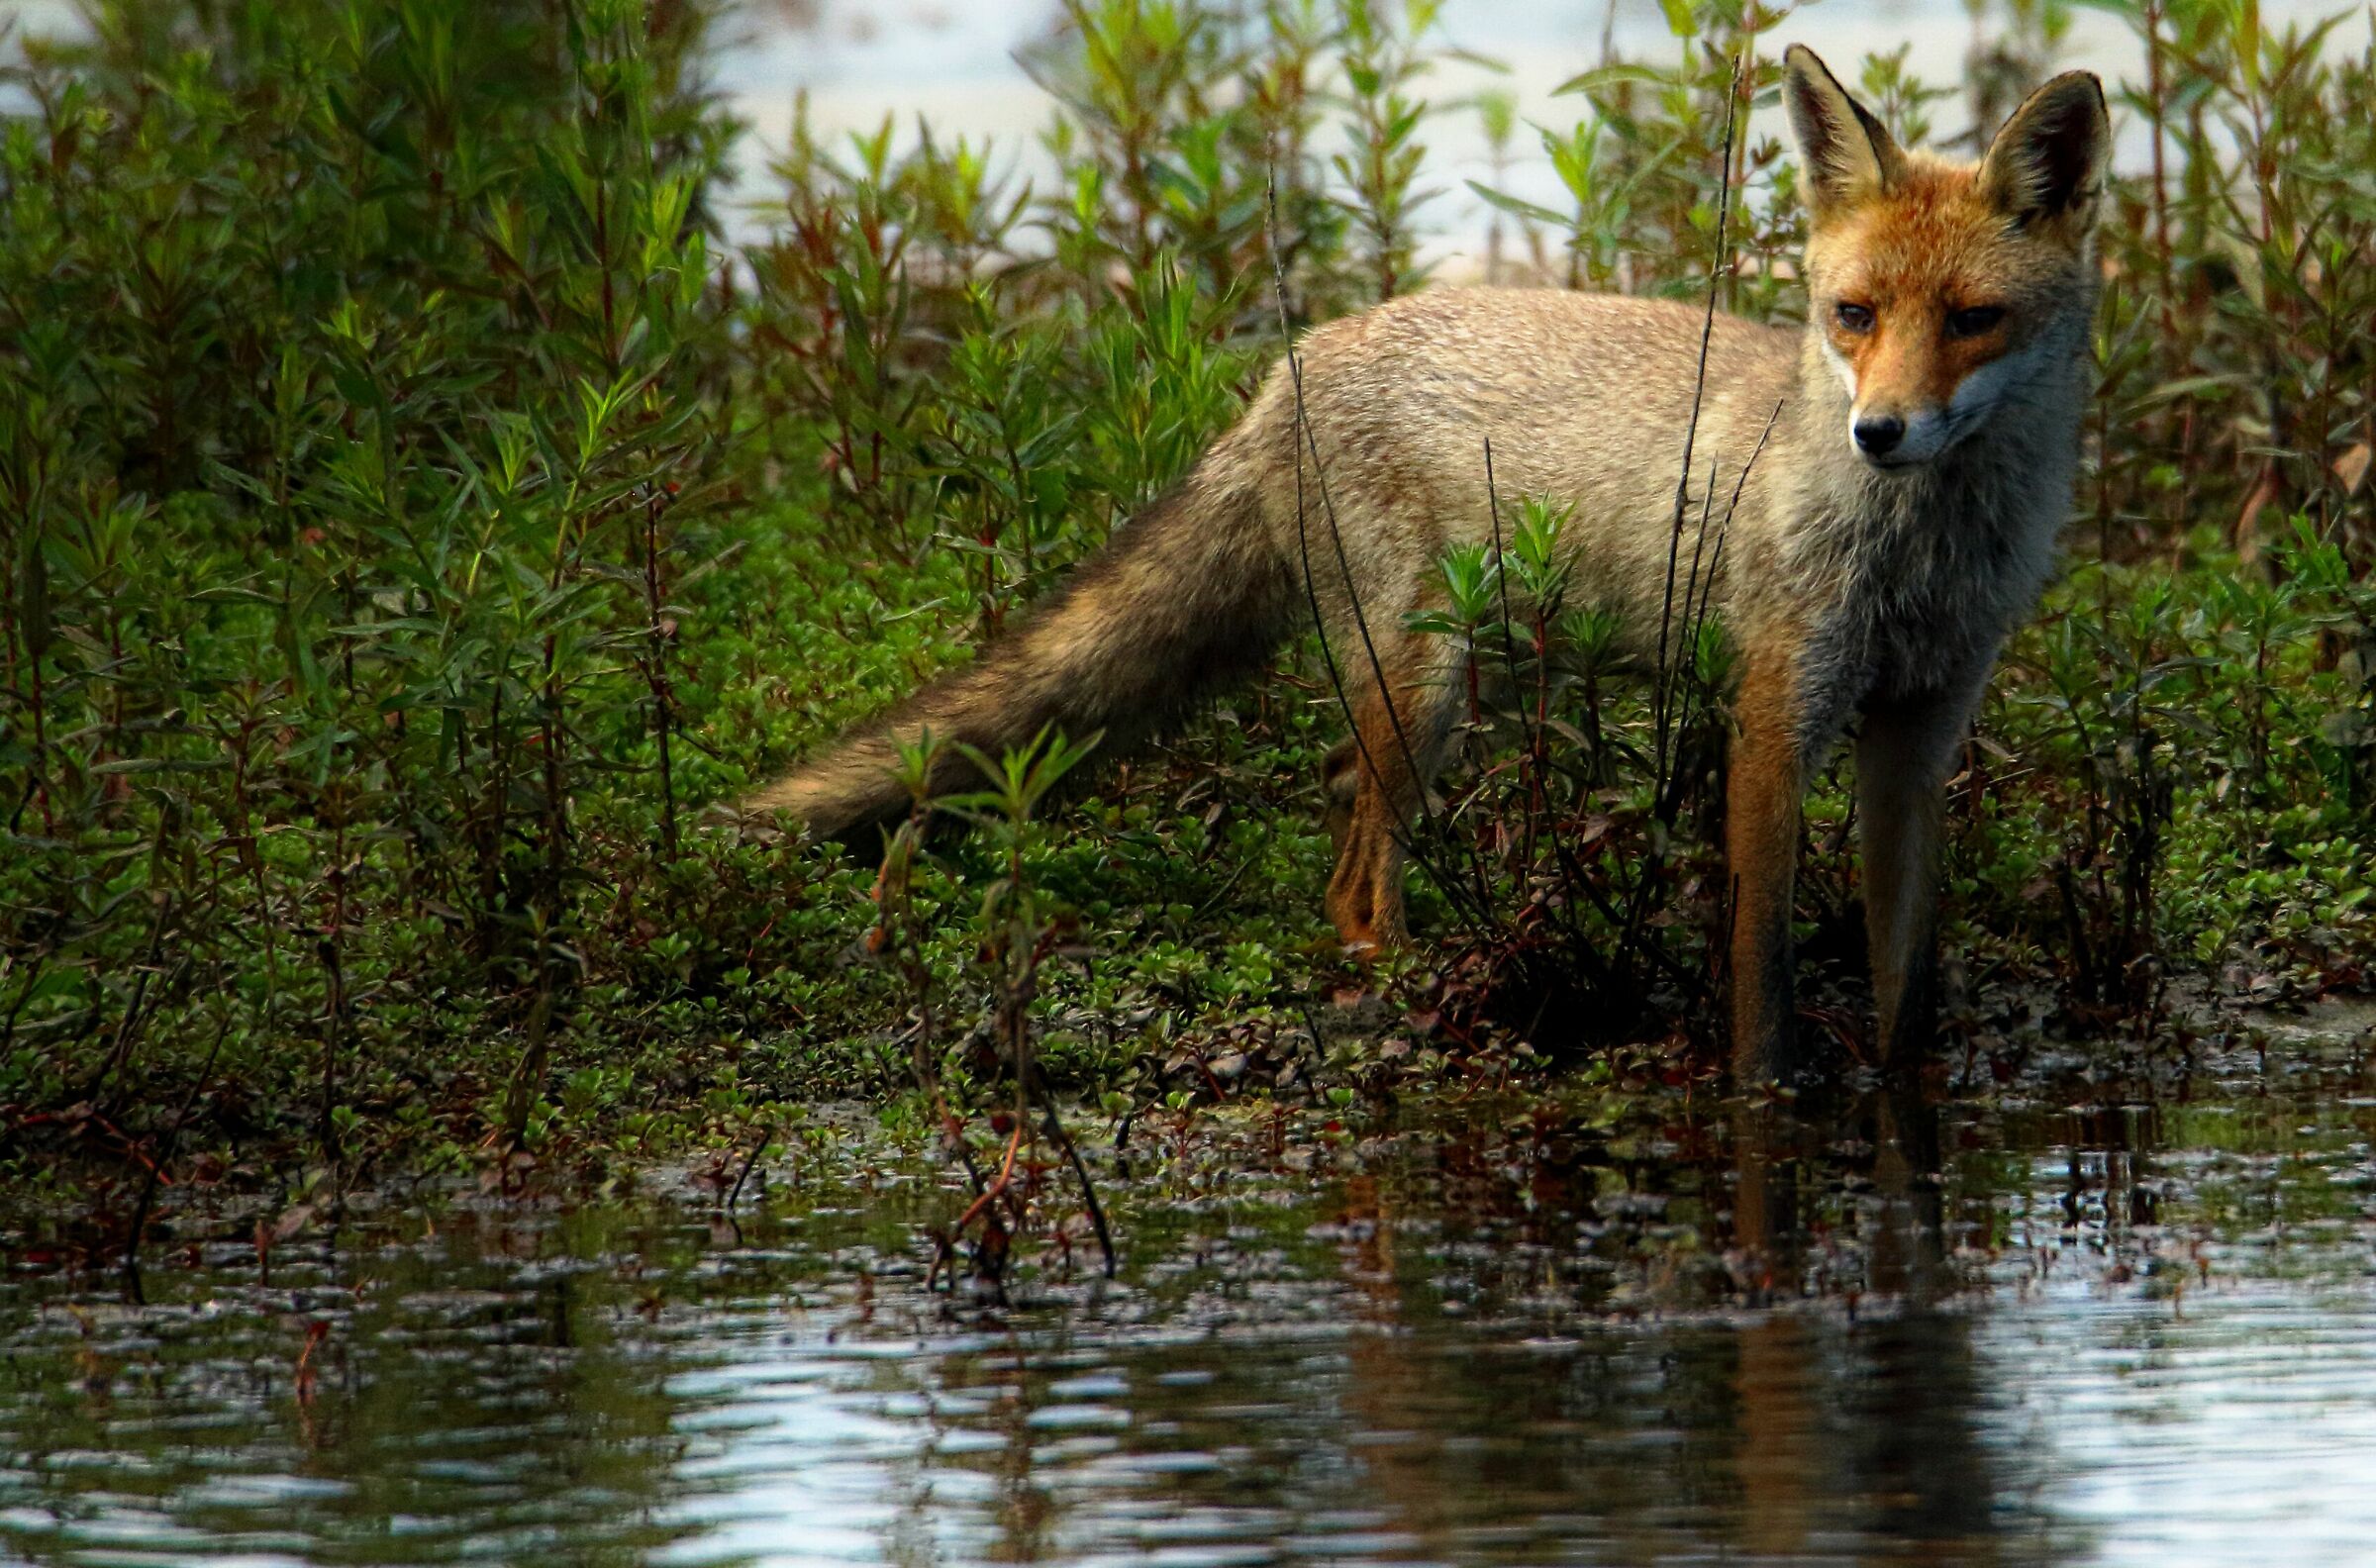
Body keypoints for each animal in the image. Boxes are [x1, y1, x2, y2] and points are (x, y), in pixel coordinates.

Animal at [747, 45, 2111, 1080]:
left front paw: (1906, 1101)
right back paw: (1415, 991)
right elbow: (1761, 979)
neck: (1925, 559)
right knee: (1355, 876)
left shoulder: (1918, 735)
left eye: (1973, 320)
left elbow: (1907, 984)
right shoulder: (1775, 716)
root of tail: (1289, 366)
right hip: (1425, 683)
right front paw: (1767, 1101)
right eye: (1853, 315)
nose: (1880, 433)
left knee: (1337, 807)